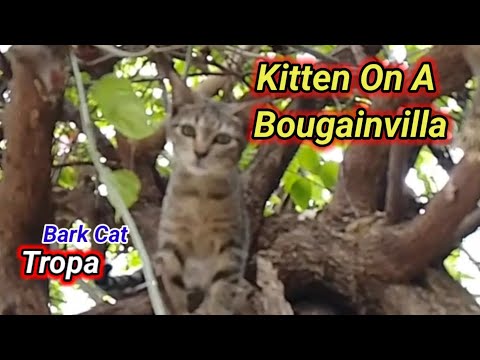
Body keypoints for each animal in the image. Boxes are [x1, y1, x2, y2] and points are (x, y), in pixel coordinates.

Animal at [157, 85, 251, 316]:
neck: (200, 193)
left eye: (223, 139)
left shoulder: (232, 244)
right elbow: (173, 284)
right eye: (188, 130)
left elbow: (222, 289)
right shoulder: (172, 239)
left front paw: (215, 307)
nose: (200, 153)